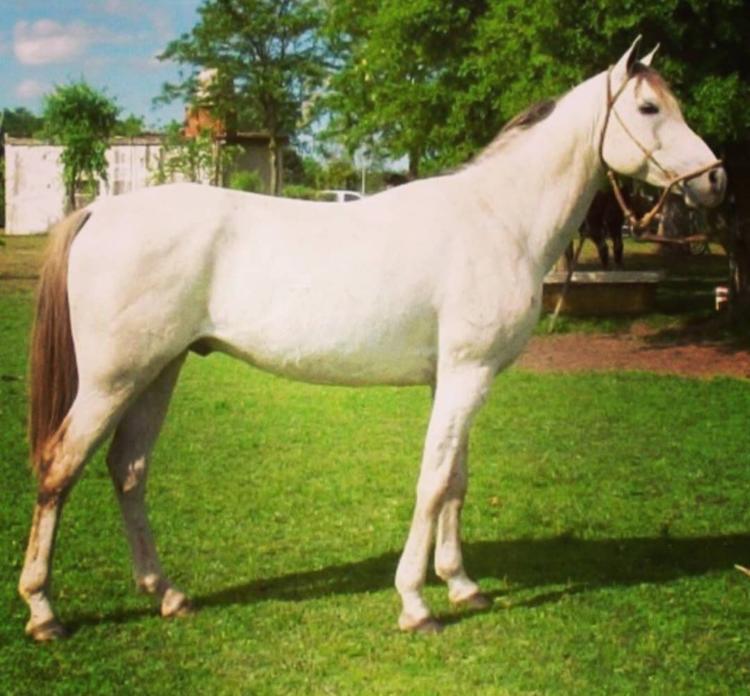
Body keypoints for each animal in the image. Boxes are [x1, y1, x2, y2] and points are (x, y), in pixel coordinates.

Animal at [19, 38, 725, 640]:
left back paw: (168, 594)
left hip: (158, 372)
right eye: (648, 107)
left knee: (128, 471)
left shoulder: (457, 378)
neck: (499, 219)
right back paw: (44, 612)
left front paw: (462, 585)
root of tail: (100, 209)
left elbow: (457, 480)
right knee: (60, 467)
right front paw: (416, 604)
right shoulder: (467, 374)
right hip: (113, 381)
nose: (716, 178)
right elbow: (433, 481)